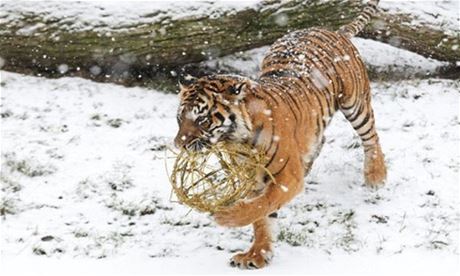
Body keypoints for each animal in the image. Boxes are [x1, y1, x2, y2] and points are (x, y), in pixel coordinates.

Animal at [174, 0, 386, 268]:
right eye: (179, 119)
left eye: (201, 119)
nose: (178, 144)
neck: (238, 141)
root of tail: (333, 30)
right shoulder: (253, 181)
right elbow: (262, 218)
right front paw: (257, 254)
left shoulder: (285, 178)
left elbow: (262, 205)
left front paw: (228, 218)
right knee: (320, 139)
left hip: (355, 103)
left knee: (371, 137)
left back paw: (376, 176)